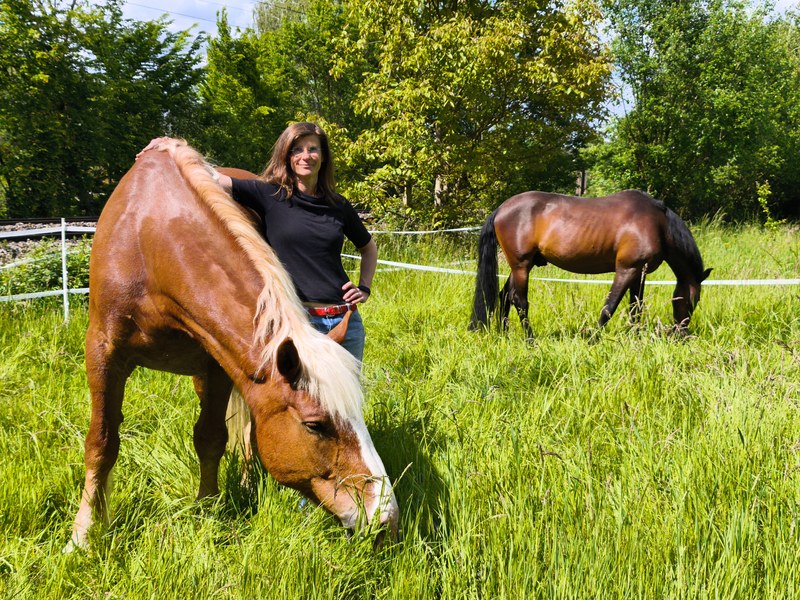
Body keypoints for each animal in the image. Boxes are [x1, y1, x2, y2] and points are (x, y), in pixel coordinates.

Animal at [66, 139, 398, 551]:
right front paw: (82, 535)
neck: (151, 238)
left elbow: (211, 438)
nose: (385, 519)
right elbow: (101, 443)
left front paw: (207, 508)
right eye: (316, 425)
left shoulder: (218, 365)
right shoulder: (103, 353)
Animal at [470, 190, 711, 337]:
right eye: (694, 300)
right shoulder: (627, 269)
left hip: (519, 267)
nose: (681, 333)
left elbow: (636, 308)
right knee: (519, 301)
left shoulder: (639, 274)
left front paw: (634, 336)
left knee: (504, 296)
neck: (658, 224)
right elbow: (609, 307)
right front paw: (593, 338)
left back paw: (504, 333)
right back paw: (530, 339)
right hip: (521, 266)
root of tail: (501, 209)